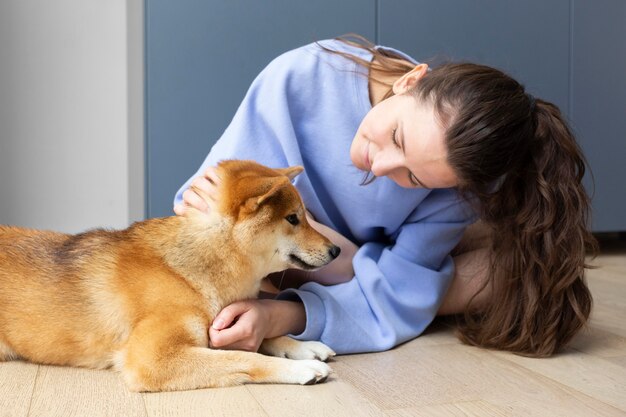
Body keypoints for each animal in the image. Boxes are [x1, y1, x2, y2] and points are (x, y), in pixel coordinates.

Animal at [0, 159, 342, 390]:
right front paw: (301, 367)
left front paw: (303, 346)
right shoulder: (151, 358)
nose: (337, 250)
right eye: (293, 219)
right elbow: (245, 358)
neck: (190, 270)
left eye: (305, 217)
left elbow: (265, 336)